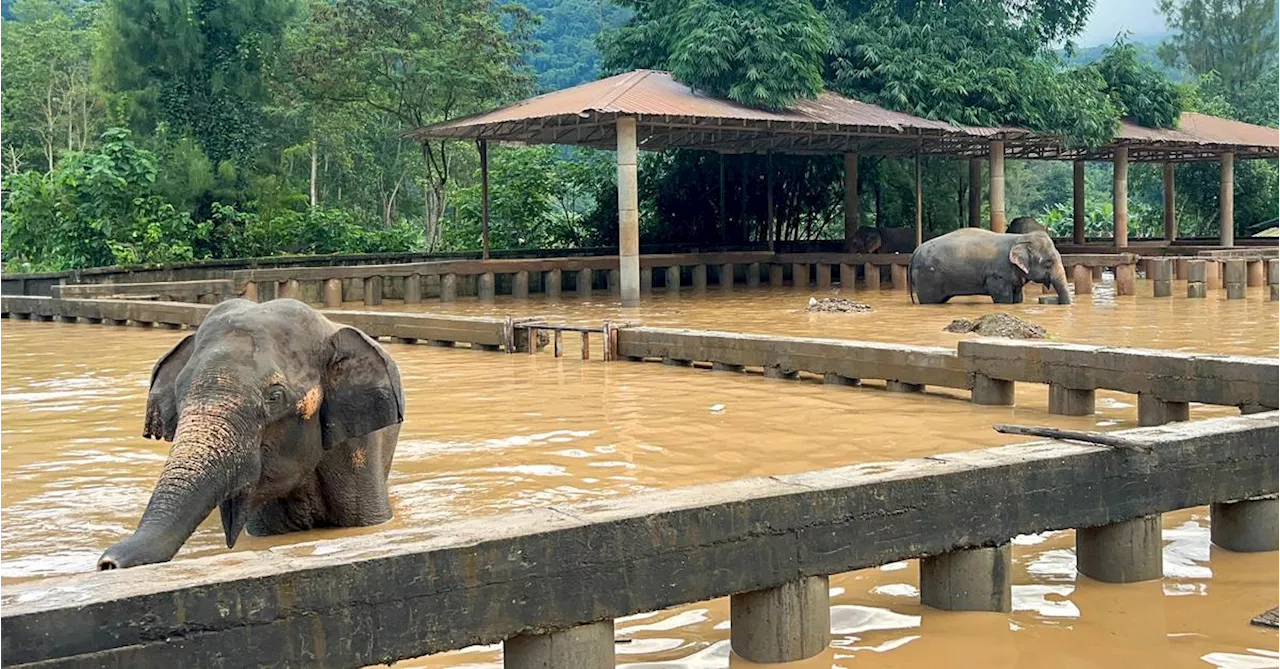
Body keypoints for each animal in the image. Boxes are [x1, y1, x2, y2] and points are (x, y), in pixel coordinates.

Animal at [906, 227, 1075, 305]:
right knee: (930, 300)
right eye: (1048, 262)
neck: (1019, 238)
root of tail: (915, 251)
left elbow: (1018, 297)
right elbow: (1003, 298)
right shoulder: (998, 274)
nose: (1051, 300)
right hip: (927, 276)